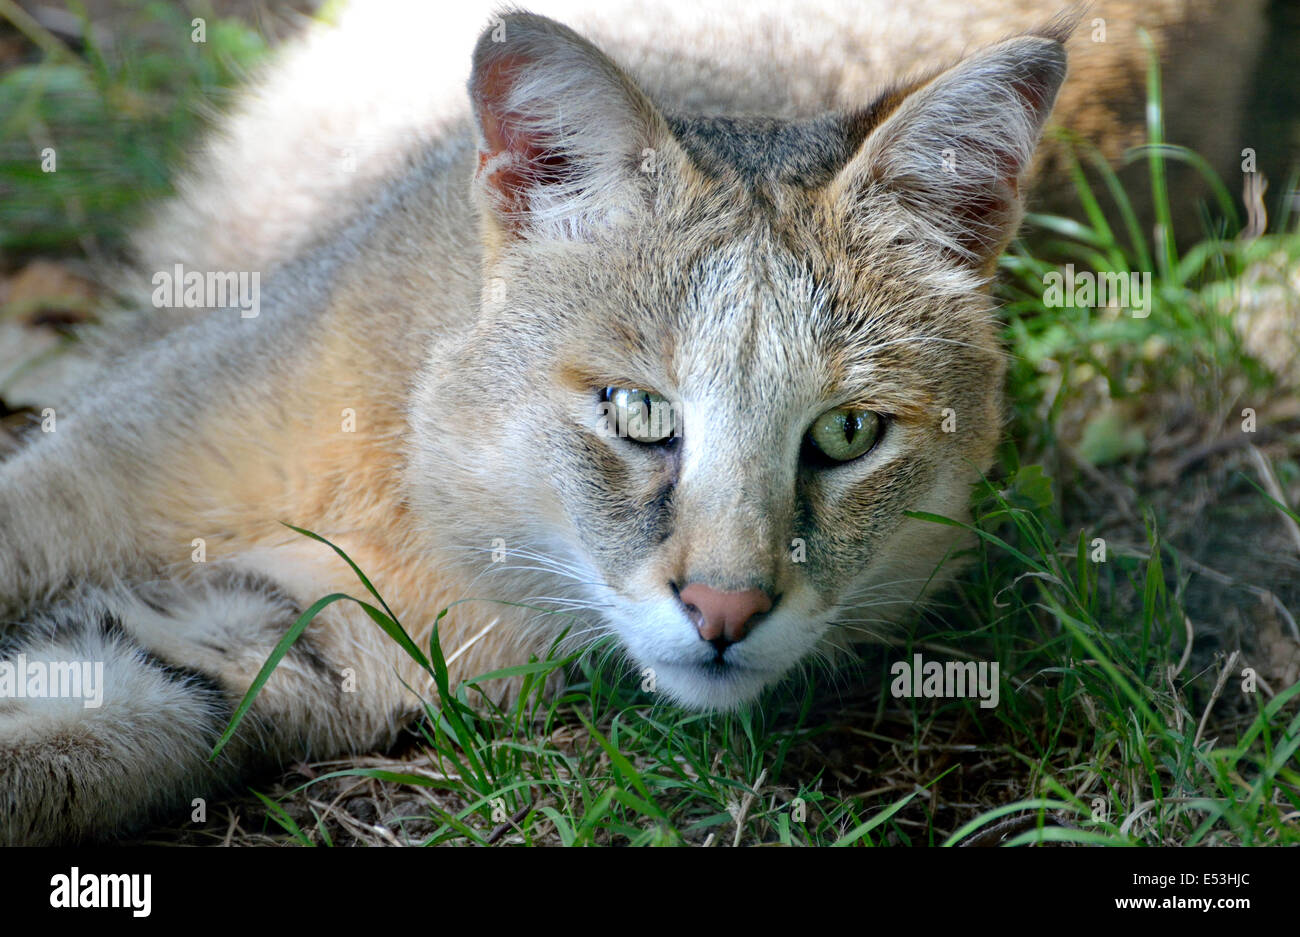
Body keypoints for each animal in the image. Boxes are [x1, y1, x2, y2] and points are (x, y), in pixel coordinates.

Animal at [2, 0, 1118, 842]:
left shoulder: (263, 641)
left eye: (847, 434)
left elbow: (70, 724)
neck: (429, 493)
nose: (724, 610)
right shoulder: (92, 472)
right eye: (638, 410)